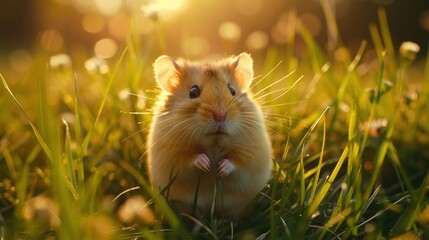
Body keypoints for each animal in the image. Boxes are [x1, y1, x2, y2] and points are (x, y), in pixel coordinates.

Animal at [146, 52, 270, 219]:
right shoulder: (171, 155)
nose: (220, 116)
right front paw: (206, 164)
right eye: (193, 92)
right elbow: (190, 158)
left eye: (232, 90)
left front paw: (220, 169)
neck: (214, 141)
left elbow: (236, 162)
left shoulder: (252, 154)